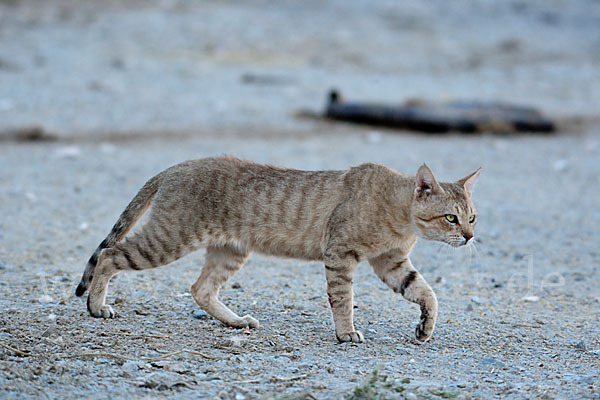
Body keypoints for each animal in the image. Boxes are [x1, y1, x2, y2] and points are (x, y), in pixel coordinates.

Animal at [75, 157, 480, 344]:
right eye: (451, 218)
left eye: (473, 217)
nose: (470, 237)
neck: (400, 218)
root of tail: (174, 167)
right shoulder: (340, 254)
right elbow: (344, 298)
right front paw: (346, 332)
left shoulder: (391, 263)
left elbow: (426, 292)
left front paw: (425, 327)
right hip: (167, 239)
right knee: (110, 255)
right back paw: (96, 306)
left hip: (230, 251)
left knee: (200, 289)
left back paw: (235, 321)